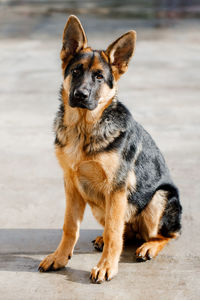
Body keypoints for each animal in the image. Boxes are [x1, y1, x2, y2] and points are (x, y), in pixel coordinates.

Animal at [38, 15, 182, 284]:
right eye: (75, 71)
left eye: (99, 77)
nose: (80, 95)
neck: (84, 128)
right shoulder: (72, 184)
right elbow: (70, 226)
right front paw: (60, 258)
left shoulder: (116, 188)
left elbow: (115, 232)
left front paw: (107, 266)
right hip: (98, 204)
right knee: (125, 230)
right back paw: (104, 238)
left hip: (158, 199)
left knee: (165, 235)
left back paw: (149, 246)